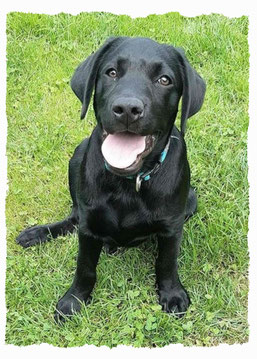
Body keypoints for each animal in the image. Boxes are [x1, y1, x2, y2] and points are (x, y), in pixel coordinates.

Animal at [16, 37, 205, 324]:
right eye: (111, 72)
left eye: (164, 80)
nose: (127, 109)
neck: (128, 182)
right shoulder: (89, 226)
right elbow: (84, 266)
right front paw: (74, 300)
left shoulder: (172, 226)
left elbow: (166, 262)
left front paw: (172, 294)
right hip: (77, 157)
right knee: (73, 217)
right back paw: (38, 233)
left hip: (190, 200)